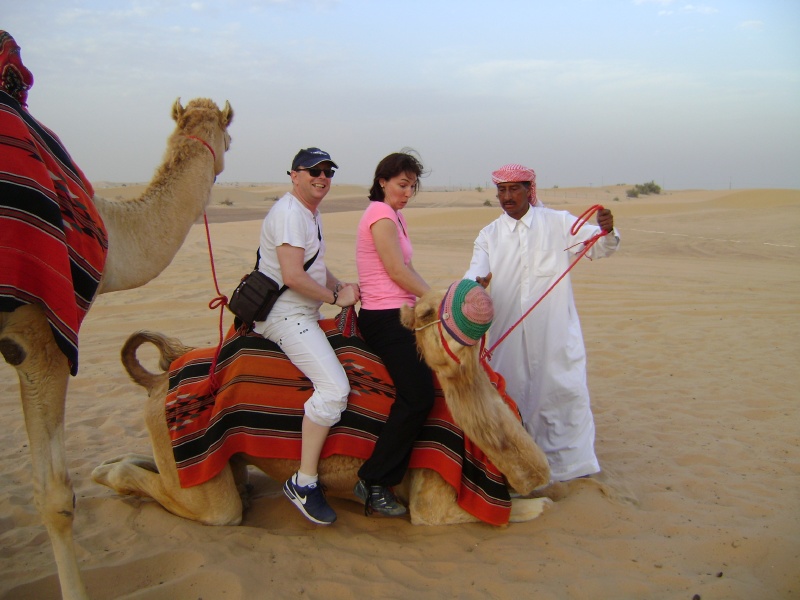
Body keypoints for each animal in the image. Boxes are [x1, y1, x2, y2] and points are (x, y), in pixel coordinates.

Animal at [91, 287, 552, 528]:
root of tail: (159, 379)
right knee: (216, 509)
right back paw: (103, 475)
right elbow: (516, 510)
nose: (476, 310)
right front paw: (540, 503)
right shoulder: (432, 496)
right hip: (203, 481)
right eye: (425, 310)